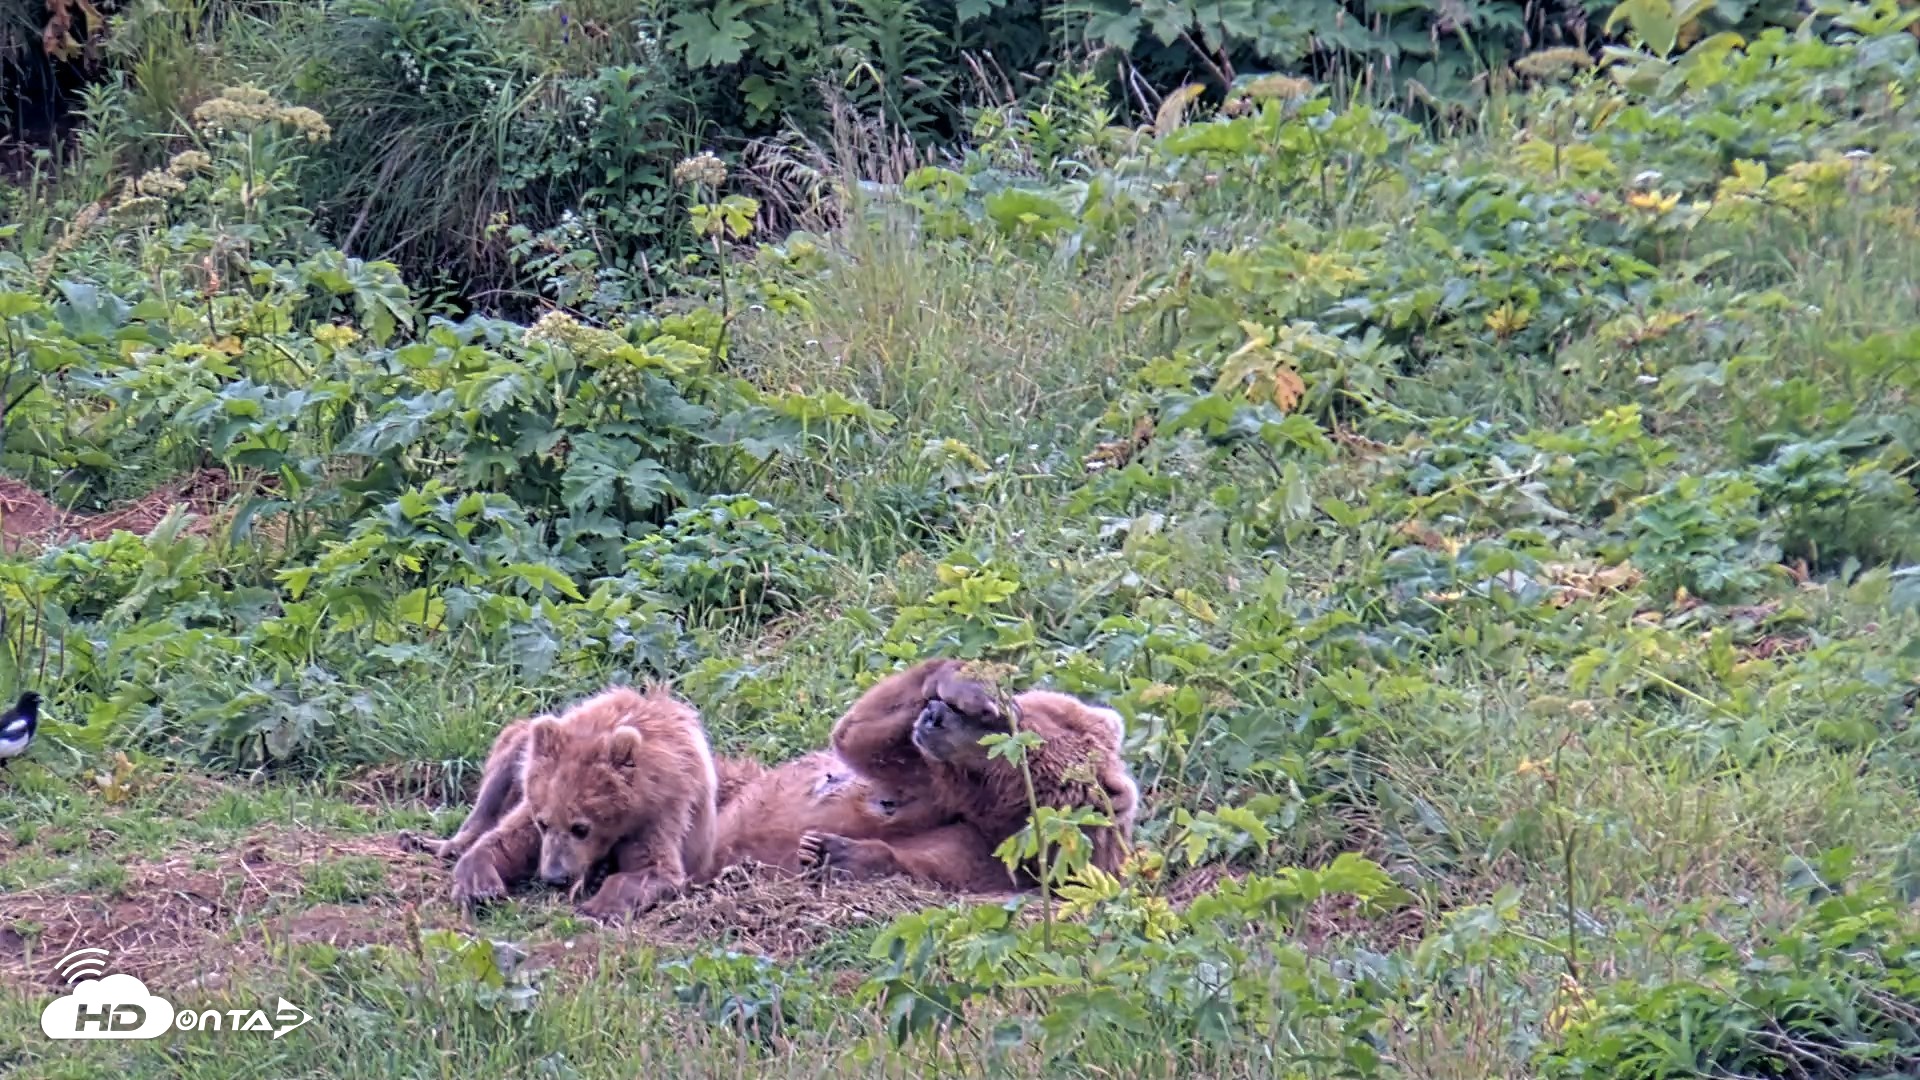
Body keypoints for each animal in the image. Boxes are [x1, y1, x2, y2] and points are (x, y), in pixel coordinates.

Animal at [407, 683, 720, 921]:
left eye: (581, 827)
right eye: (543, 823)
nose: (555, 877)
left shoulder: (659, 814)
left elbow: (653, 868)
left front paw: (598, 906)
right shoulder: (536, 799)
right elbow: (507, 838)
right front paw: (479, 886)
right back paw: (426, 841)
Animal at [796, 658, 1140, 892]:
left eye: (1004, 731)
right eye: (1006, 714)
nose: (933, 715)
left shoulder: (999, 856)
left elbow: (935, 866)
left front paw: (830, 853)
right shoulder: (927, 777)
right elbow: (858, 736)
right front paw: (968, 684)